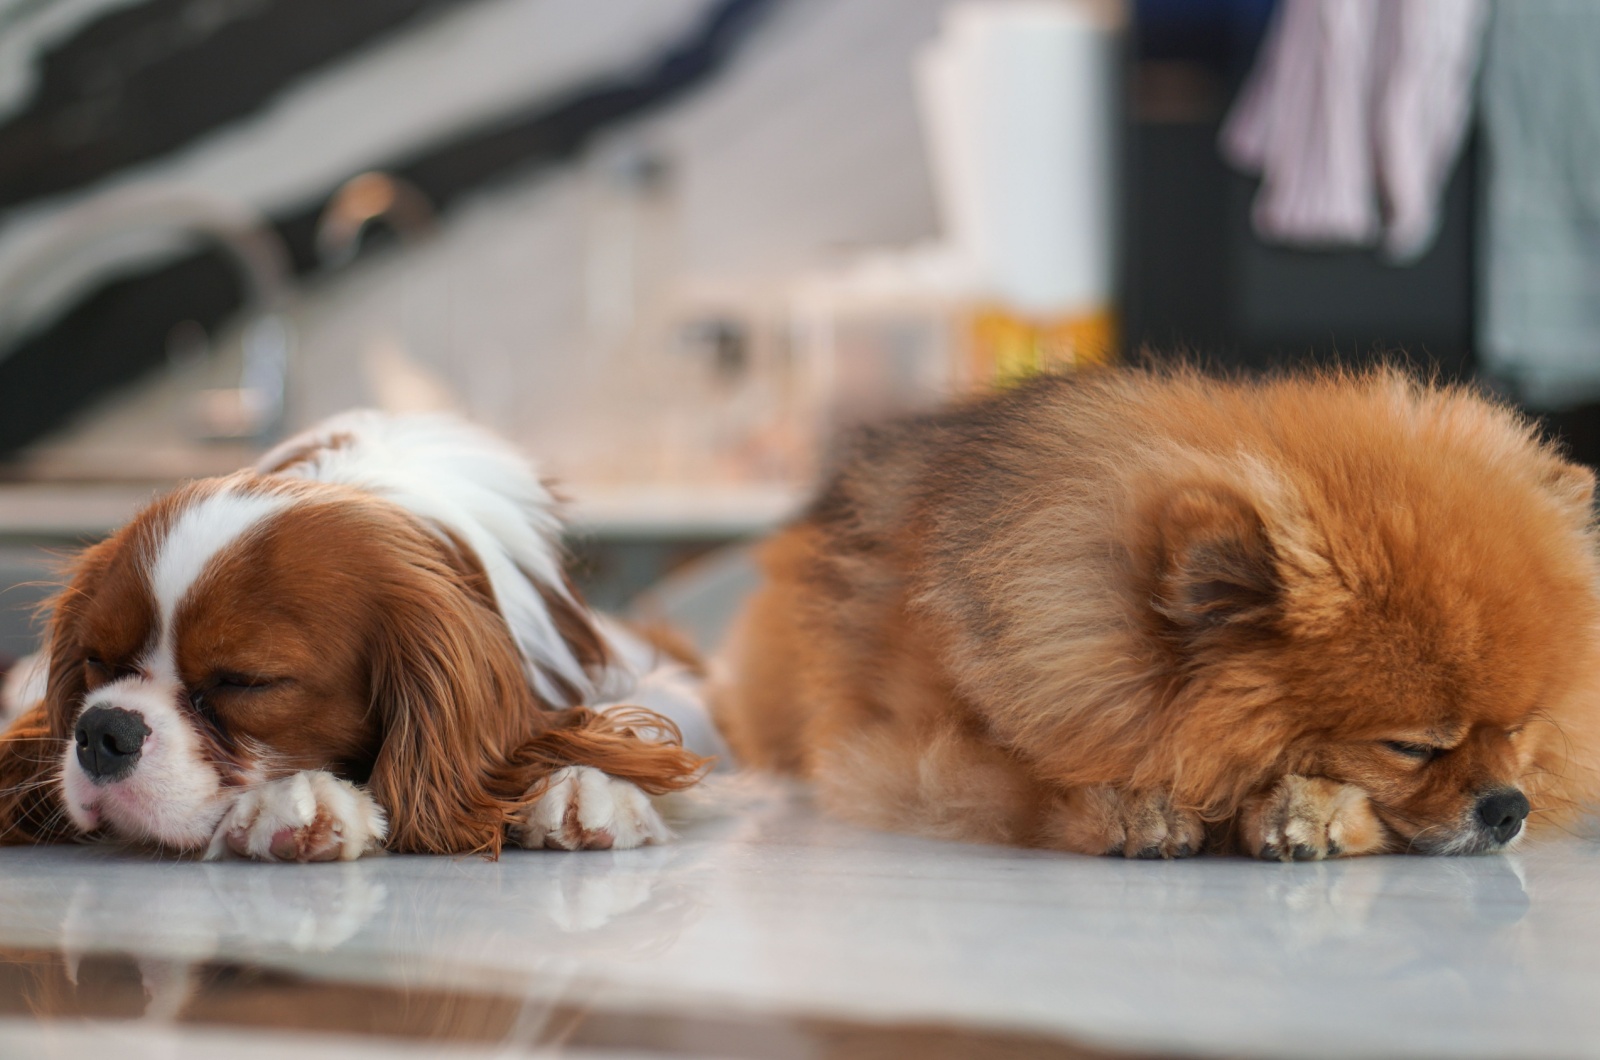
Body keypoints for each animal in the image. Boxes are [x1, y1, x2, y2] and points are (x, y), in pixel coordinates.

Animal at [720, 369, 1600, 858]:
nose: (1509, 808)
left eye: (1519, 731)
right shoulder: (909, 746)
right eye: (1413, 747)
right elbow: (1024, 774)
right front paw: (1136, 804)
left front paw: (1312, 808)